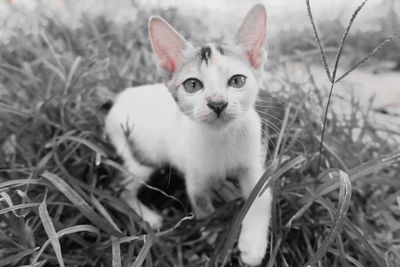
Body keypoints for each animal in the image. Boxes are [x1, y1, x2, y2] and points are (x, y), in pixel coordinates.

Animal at [104, 3, 272, 266]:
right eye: (192, 85)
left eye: (237, 81)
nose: (217, 103)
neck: (221, 138)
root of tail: (119, 98)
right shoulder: (195, 178)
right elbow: (202, 206)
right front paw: (212, 233)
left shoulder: (252, 162)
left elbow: (262, 195)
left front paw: (253, 245)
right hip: (140, 156)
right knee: (118, 188)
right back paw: (148, 218)